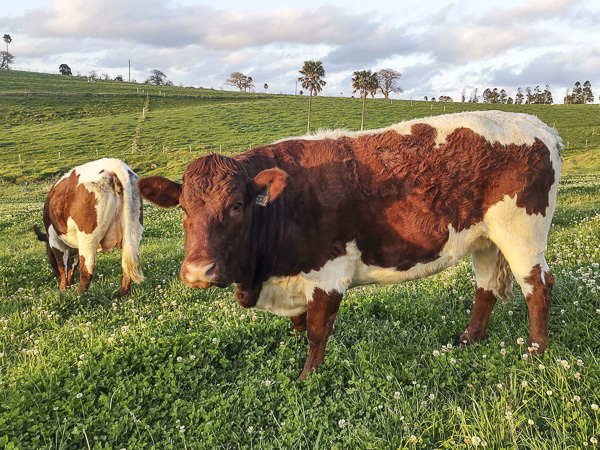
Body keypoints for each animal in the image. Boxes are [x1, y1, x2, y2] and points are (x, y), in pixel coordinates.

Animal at [34, 156, 144, 298]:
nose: (55, 276)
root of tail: (112, 165)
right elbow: (72, 265)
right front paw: (69, 284)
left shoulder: (54, 239)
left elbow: (62, 265)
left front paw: (63, 288)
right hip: (134, 229)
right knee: (127, 263)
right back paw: (121, 295)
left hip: (88, 236)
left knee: (88, 268)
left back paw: (79, 295)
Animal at [137, 110, 564, 378]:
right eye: (183, 207)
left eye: (237, 205)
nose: (198, 272)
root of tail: (538, 125)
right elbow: (298, 324)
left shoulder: (328, 273)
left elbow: (316, 330)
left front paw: (307, 377)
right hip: (485, 239)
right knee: (485, 287)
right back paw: (468, 340)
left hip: (523, 235)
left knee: (538, 286)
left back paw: (536, 351)